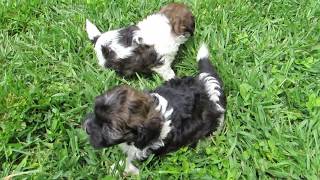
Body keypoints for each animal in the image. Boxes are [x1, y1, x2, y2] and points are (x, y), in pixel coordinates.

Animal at [84, 44, 226, 175]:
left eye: (108, 130)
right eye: (95, 111)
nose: (86, 128)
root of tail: (207, 87)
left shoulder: (147, 153)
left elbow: (130, 163)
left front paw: (115, 168)